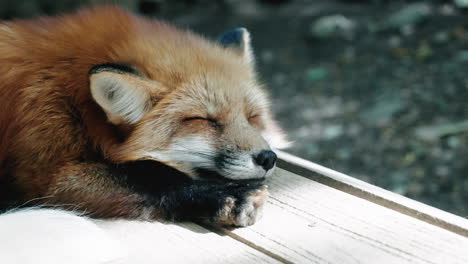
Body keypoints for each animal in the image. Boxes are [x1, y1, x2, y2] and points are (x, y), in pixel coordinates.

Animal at [0, 5, 288, 227]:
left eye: (252, 117)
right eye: (203, 120)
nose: (267, 158)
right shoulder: (51, 172)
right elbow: (147, 174)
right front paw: (225, 196)